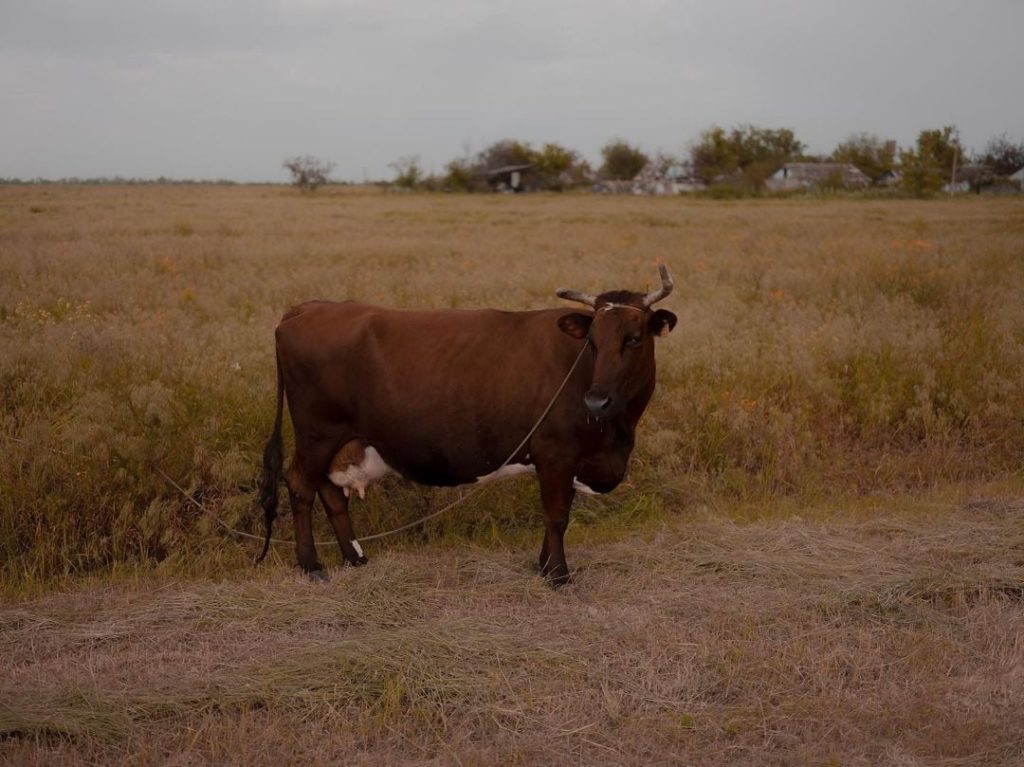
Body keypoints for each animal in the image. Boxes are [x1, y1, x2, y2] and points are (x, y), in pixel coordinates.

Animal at [256, 266, 675, 581]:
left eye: (635, 339)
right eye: (592, 340)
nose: (596, 401)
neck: (616, 435)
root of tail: (308, 307)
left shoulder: (566, 461)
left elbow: (558, 515)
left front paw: (543, 565)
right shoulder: (556, 453)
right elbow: (557, 515)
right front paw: (557, 574)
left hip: (340, 440)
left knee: (330, 492)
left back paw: (354, 558)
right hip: (317, 432)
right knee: (301, 486)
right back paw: (312, 565)